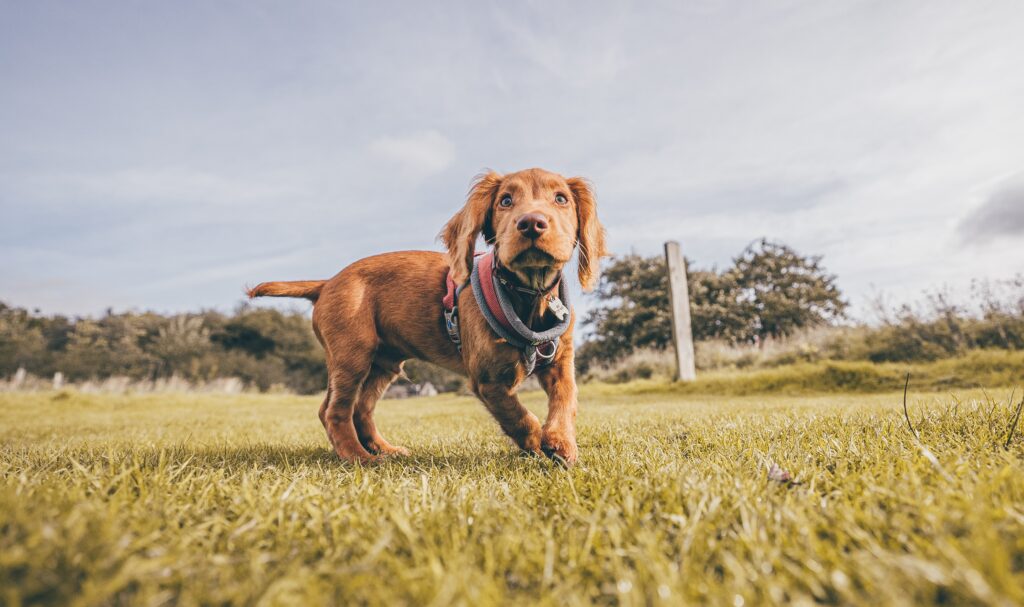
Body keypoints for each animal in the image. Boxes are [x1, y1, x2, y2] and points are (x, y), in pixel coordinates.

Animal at [248, 167, 606, 460]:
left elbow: (566, 399)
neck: (529, 295)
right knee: (334, 411)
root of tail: (327, 282)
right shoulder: (487, 378)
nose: (531, 223)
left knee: (361, 410)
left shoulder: (560, 362)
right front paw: (535, 443)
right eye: (505, 201)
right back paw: (359, 458)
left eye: (561, 199)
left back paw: (385, 450)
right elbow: (518, 415)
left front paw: (561, 442)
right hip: (353, 355)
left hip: (384, 362)